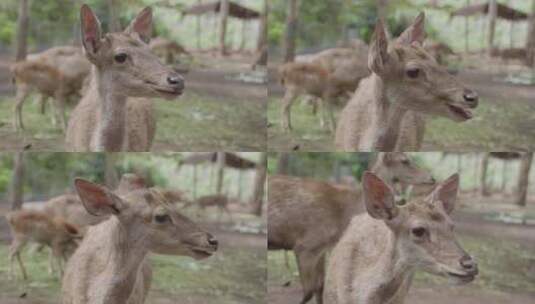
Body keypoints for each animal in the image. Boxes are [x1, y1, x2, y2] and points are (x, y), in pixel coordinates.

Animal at [268, 152, 436, 304]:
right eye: (405, 161)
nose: (432, 177)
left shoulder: (321, 248)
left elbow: (320, 287)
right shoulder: (306, 244)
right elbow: (310, 290)